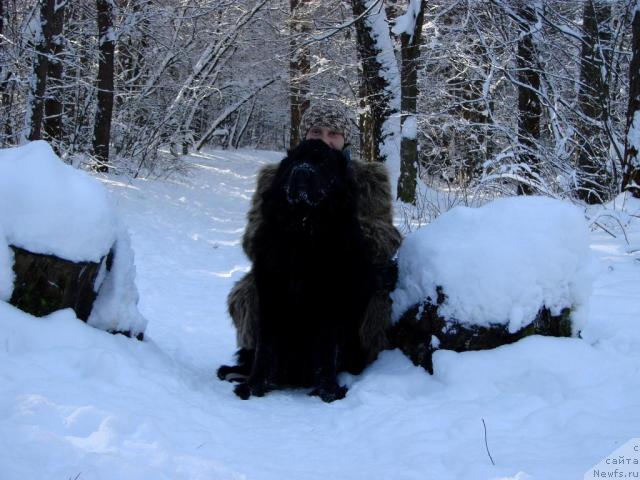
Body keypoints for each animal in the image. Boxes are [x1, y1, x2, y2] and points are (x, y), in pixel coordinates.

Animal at [230, 139, 376, 402]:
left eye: (324, 163)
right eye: (296, 160)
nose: (301, 171)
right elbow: (265, 347)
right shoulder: (270, 294)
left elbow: (327, 349)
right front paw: (253, 386)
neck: (303, 230)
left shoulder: (331, 301)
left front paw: (329, 391)